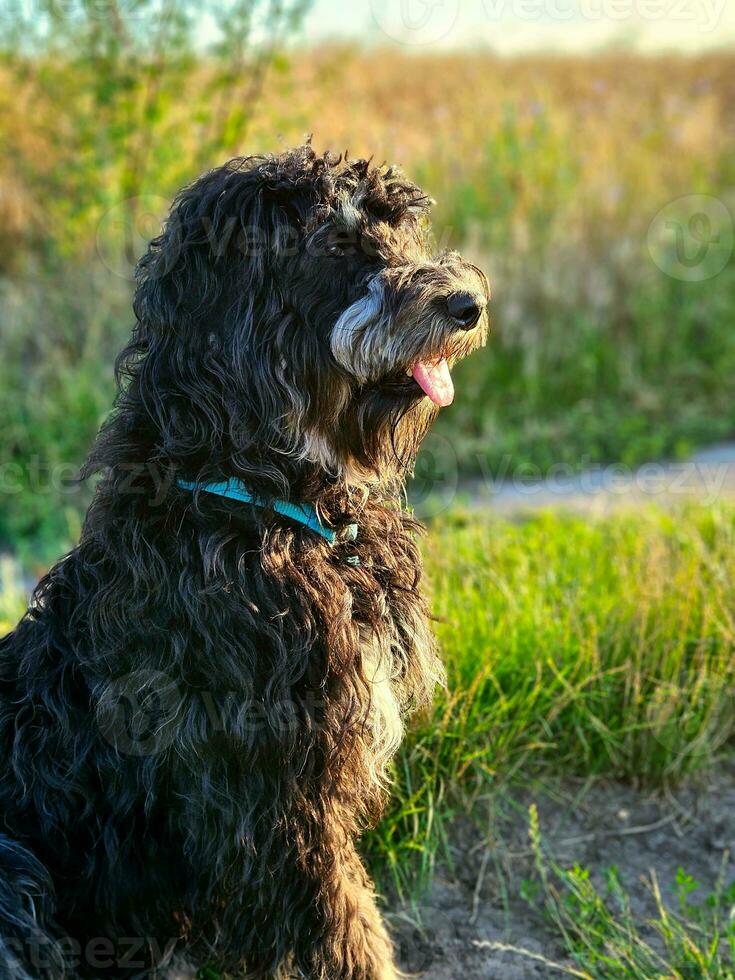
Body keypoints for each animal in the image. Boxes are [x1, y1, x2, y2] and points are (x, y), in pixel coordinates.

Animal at [0, 145, 488, 980]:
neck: (265, 501)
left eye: (399, 229)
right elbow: (341, 924)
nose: (466, 303)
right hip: (13, 872)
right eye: (333, 244)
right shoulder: (274, 792)